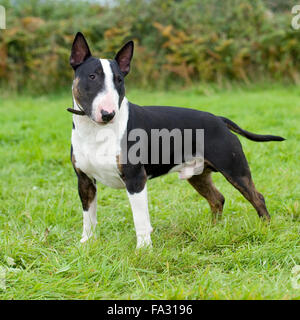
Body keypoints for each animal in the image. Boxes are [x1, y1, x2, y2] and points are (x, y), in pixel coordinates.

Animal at [69, 31, 284, 248]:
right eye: (92, 76)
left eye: (119, 80)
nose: (108, 114)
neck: (95, 131)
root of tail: (219, 119)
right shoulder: (84, 180)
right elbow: (88, 216)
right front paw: (86, 243)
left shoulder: (135, 179)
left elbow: (140, 219)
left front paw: (144, 249)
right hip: (198, 175)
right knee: (217, 198)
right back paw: (213, 230)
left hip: (235, 169)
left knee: (258, 198)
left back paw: (265, 230)